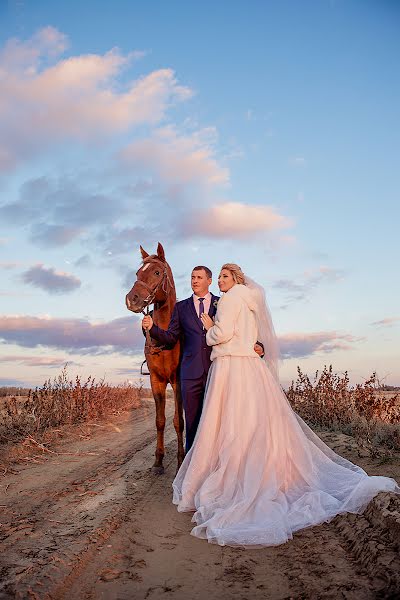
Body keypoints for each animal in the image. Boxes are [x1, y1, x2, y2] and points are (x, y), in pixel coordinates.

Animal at [125, 243, 184, 474]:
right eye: (137, 273)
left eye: (157, 272)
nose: (131, 299)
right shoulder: (156, 381)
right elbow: (160, 421)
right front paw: (158, 460)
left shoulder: (178, 381)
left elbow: (179, 422)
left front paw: (180, 461)